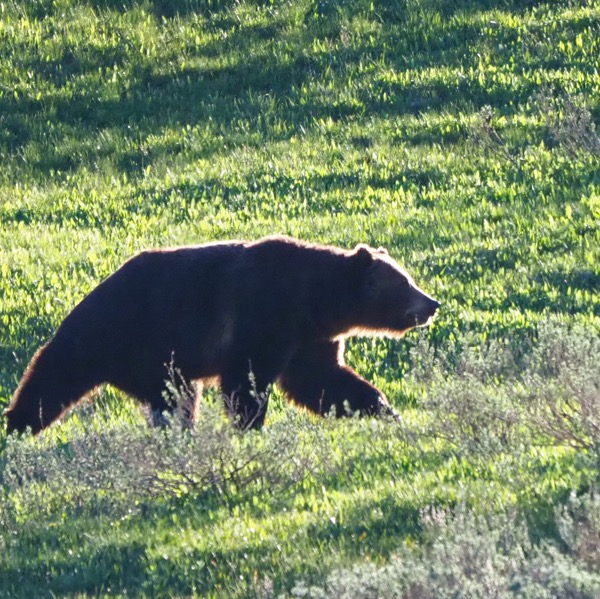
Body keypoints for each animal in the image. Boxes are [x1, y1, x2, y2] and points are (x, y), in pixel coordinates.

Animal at [4, 236, 440, 436]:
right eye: (405, 282)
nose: (432, 303)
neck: (316, 300)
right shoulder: (264, 314)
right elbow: (246, 378)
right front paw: (252, 425)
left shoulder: (309, 338)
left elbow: (322, 381)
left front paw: (384, 409)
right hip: (127, 335)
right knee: (55, 376)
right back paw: (18, 424)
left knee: (173, 398)